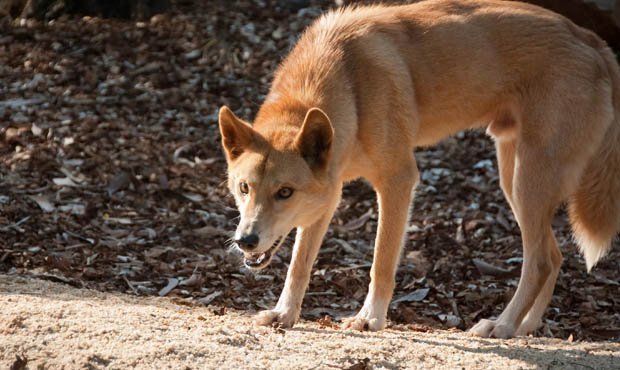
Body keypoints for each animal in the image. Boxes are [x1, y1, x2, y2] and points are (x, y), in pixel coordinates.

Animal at [218, 0, 620, 338]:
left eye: (284, 192)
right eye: (244, 188)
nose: (245, 240)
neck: (347, 79)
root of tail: (593, 41)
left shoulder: (398, 181)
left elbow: (381, 261)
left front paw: (370, 318)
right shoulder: (327, 195)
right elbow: (299, 265)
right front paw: (285, 313)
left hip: (530, 180)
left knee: (538, 263)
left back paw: (502, 325)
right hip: (515, 182)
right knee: (553, 257)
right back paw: (525, 326)